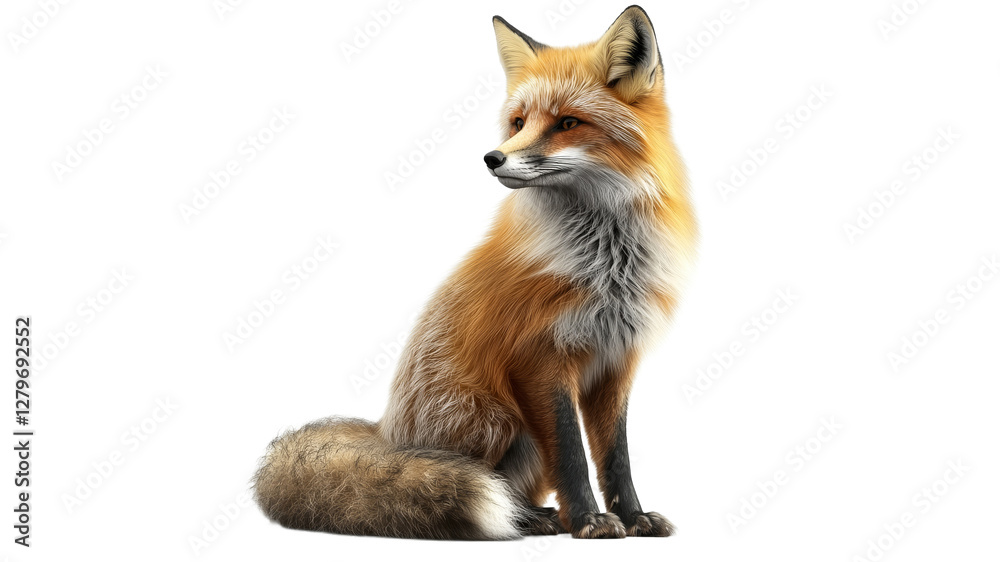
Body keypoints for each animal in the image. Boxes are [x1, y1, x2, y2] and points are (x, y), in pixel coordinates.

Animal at [253, 5, 696, 540]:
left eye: (568, 122)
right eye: (518, 122)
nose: (492, 158)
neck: (606, 262)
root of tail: (387, 432)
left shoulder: (616, 362)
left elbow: (616, 455)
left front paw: (633, 517)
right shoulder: (540, 357)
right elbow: (571, 453)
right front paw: (589, 520)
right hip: (499, 418)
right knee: (483, 482)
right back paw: (530, 518)